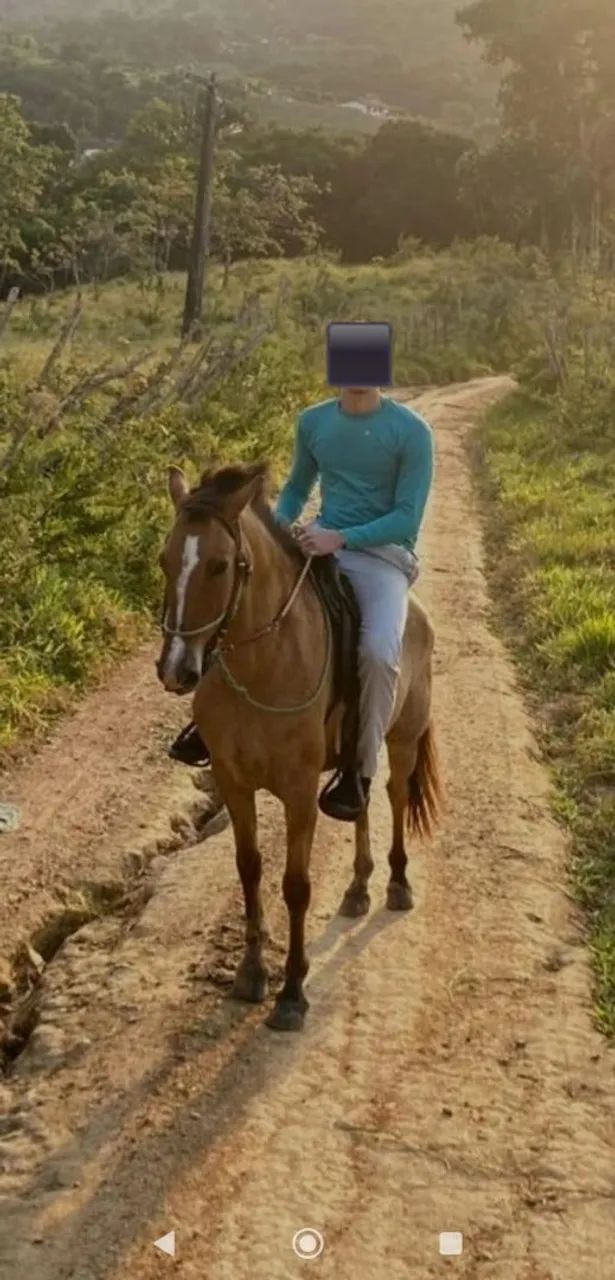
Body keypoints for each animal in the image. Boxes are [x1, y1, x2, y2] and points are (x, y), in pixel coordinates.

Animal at [156, 460, 440, 1031]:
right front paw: (250, 972)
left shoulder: (299, 791)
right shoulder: (232, 781)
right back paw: (357, 888)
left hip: (402, 739)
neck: (263, 662)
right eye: (164, 560)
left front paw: (291, 991)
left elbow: (296, 885)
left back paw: (397, 884)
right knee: (360, 799)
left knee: (396, 797)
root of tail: (418, 612)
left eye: (220, 566)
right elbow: (249, 868)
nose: (176, 669)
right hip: (356, 754)